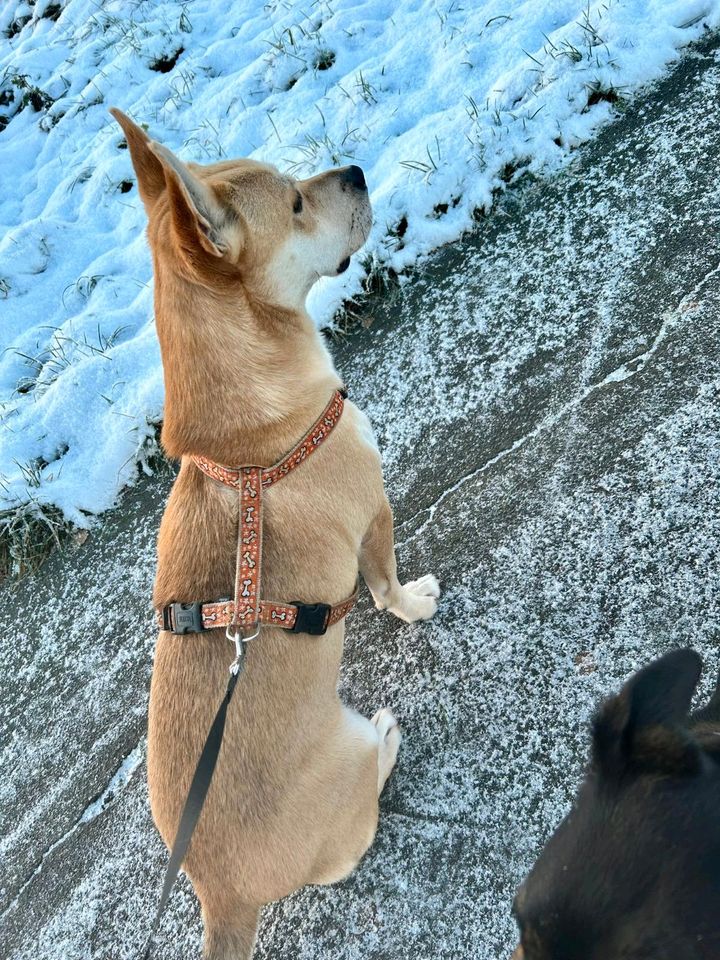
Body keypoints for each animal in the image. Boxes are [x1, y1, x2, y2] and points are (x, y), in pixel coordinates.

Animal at [111, 109, 438, 956]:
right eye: (294, 203)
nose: (356, 169)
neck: (243, 446)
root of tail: (219, 895)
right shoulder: (374, 514)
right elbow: (386, 583)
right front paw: (413, 603)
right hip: (347, 768)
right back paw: (385, 743)